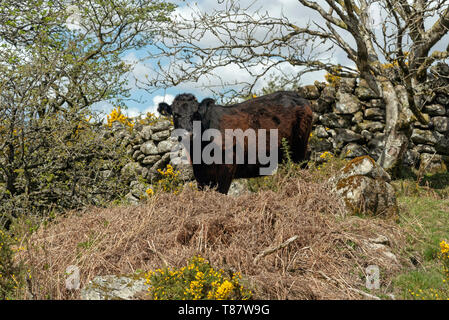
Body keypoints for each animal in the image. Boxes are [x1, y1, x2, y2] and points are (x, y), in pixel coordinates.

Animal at [158, 91, 312, 194]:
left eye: (196, 114)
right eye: (175, 114)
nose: (188, 134)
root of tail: (297, 96)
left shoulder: (227, 166)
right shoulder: (201, 174)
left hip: (300, 148)